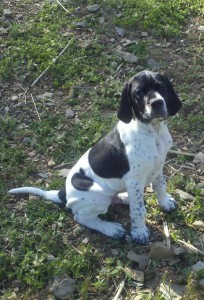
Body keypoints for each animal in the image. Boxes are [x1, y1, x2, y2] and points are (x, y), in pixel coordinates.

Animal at [9, 71, 182, 245]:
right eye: (139, 92)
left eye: (161, 87)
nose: (157, 103)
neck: (153, 131)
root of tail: (63, 193)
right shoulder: (134, 180)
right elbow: (139, 210)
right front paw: (139, 231)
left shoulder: (158, 168)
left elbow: (160, 186)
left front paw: (165, 203)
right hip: (97, 196)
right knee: (82, 217)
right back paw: (111, 228)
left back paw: (124, 198)